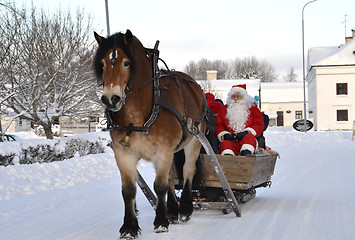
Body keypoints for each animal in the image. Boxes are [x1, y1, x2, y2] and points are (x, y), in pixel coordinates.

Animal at [93, 30, 207, 238]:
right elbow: (129, 190)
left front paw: (160, 221)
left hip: (194, 140)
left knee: (188, 169)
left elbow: (160, 186)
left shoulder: (163, 152)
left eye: (126, 63)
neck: (137, 117)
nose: (110, 99)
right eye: (102, 64)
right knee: (171, 176)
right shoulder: (123, 154)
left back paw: (184, 209)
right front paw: (129, 226)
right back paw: (172, 210)